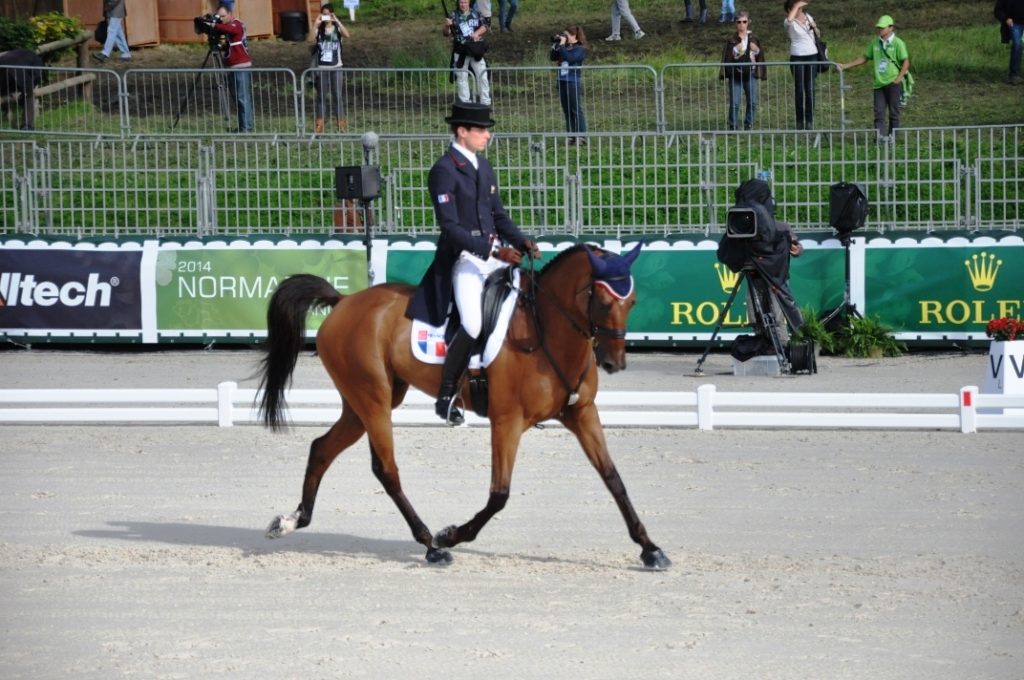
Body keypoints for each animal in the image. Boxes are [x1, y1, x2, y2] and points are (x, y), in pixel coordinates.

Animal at [256, 244, 671, 569]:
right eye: (602, 302)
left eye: (632, 302)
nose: (615, 363)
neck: (546, 331)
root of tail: (344, 302)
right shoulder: (507, 421)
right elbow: (499, 494)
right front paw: (451, 534)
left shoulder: (582, 414)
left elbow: (614, 479)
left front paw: (650, 549)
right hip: (372, 400)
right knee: (386, 470)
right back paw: (430, 544)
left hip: (364, 404)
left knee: (322, 449)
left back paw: (293, 520)